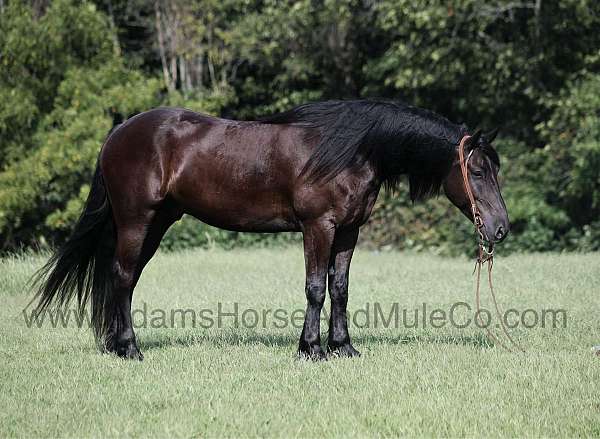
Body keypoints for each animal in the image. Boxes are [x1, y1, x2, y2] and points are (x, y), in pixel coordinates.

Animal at [32, 99, 508, 360]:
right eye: (477, 171)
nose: (501, 228)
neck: (353, 149)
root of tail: (119, 132)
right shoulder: (319, 227)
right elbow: (315, 288)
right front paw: (311, 350)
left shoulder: (349, 232)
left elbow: (339, 289)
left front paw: (343, 347)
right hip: (136, 221)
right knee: (123, 277)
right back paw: (130, 348)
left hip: (157, 222)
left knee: (123, 280)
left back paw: (116, 345)